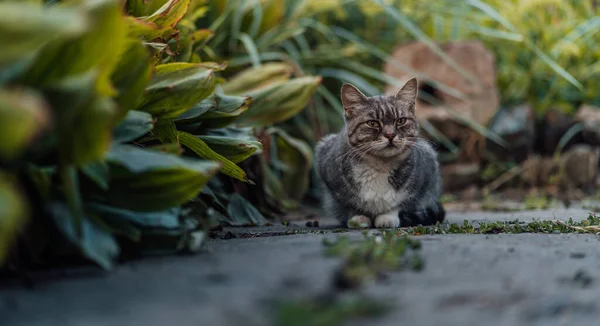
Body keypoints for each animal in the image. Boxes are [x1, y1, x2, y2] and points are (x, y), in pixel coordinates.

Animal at [314, 77, 446, 228]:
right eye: (372, 123)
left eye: (400, 121)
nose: (390, 135)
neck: (380, 165)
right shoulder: (328, 173)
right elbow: (348, 205)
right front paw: (358, 218)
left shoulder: (421, 182)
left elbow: (399, 204)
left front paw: (387, 217)